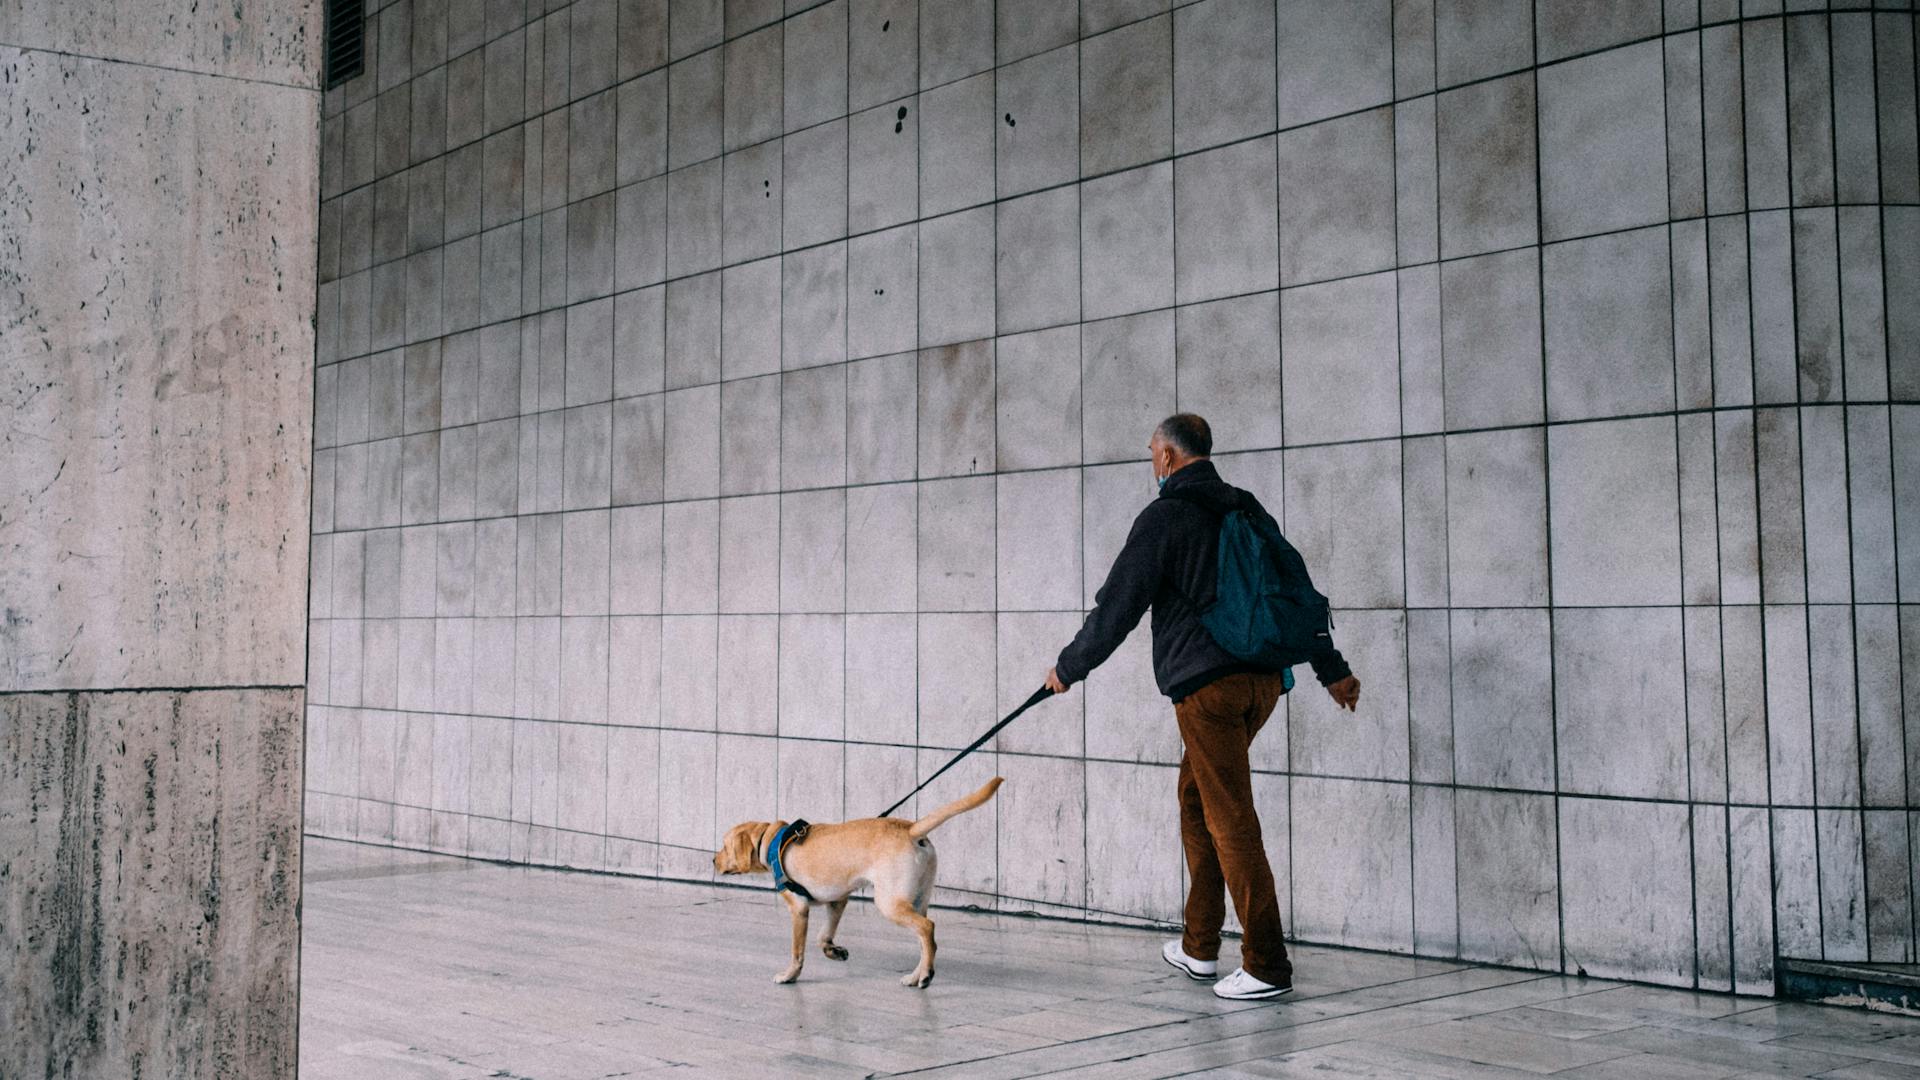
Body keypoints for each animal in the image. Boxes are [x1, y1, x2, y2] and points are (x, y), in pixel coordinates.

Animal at [710, 772, 1006, 983]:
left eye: (724, 846)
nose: (713, 860)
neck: (773, 841)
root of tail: (911, 830)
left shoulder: (799, 908)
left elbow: (798, 950)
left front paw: (789, 975)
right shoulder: (837, 901)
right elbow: (823, 936)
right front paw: (834, 951)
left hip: (889, 902)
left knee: (927, 928)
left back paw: (924, 975)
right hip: (917, 899)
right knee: (925, 941)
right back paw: (916, 975)